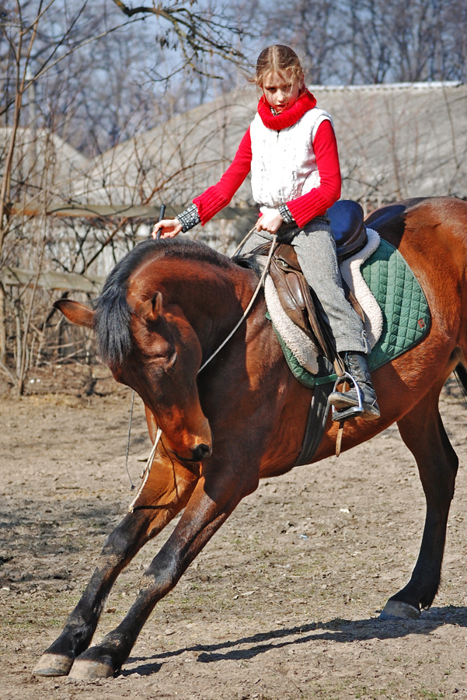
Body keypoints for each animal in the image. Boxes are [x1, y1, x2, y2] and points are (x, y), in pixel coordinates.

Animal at [34, 197, 467, 680]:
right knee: (438, 473)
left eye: (166, 358)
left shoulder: (229, 476)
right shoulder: (174, 469)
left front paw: (109, 648)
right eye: (123, 376)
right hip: (418, 398)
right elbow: (116, 546)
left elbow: (165, 564)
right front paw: (67, 641)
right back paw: (412, 595)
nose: (194, 446)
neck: (229, 337)